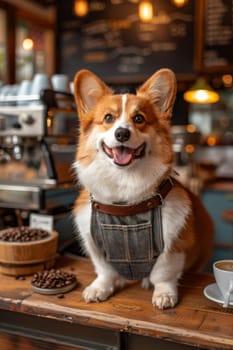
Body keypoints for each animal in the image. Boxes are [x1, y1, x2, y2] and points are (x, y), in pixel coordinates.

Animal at [72, 68, 213, 308]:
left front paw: (164, 294)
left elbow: (163, 273)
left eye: (139, 119)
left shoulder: (174, 245)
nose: (122, 134)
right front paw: (101, 288)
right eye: (108, 118)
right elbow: (105, 271)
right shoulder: (95, 245)